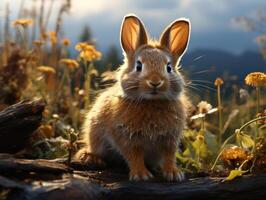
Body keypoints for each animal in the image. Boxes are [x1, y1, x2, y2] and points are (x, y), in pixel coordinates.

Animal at [75, 14, 191, 182]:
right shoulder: (126, 138)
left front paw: (174, 174)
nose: (155, 82)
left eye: (169, 67)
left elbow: (169, 156)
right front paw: (141, 175)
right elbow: (134, 155)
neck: (151, 102)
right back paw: (91, 158)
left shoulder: (170, 140)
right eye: (139, 66)